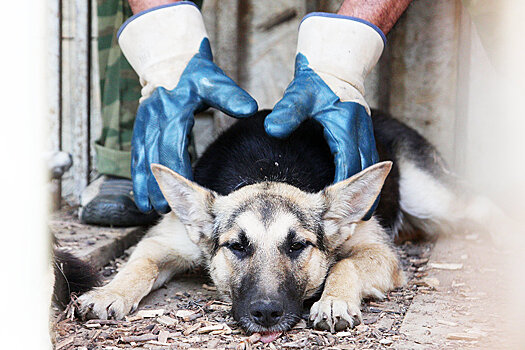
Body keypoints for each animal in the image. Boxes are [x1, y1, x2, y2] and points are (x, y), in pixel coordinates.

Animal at [75, 108, 494, 336]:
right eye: (237, 246)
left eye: (297, 246)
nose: (265, 314)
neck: (269, 167)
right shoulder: (163, 242)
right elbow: (138, 266)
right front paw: (109, 292)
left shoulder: (379, 251)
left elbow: (343, 265)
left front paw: (333, 301)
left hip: (435, 200)